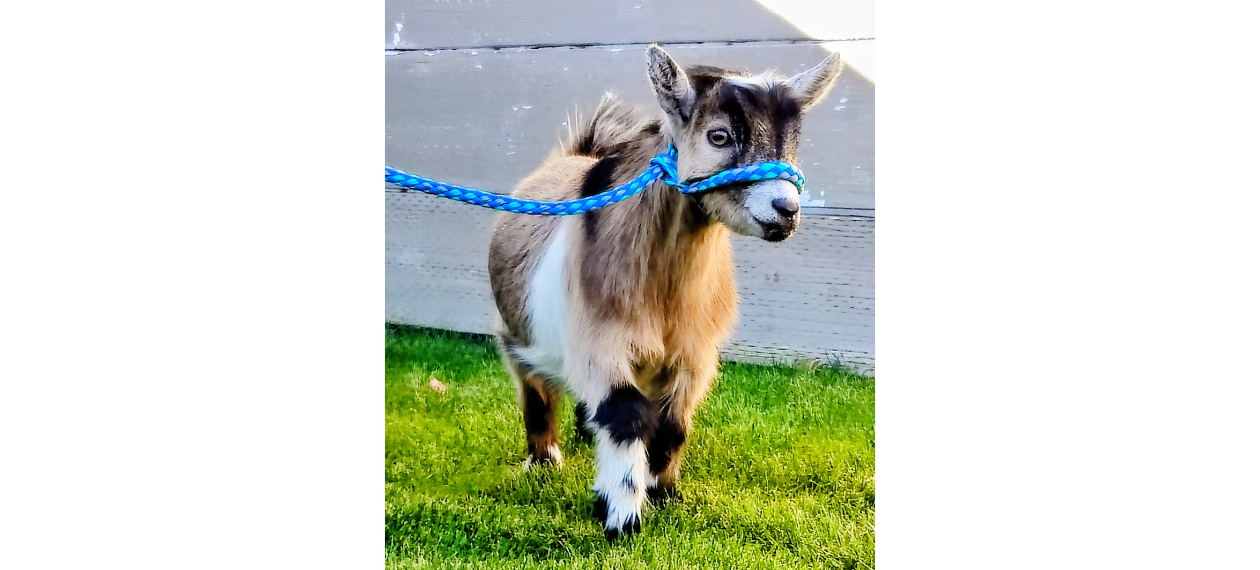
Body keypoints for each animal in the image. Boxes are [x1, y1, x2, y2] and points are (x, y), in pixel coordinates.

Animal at [487, 45, 843, 540]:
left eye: (792, 141)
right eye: (719, 136)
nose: (785, 209)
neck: (666, 293)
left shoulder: (695, 352)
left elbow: (672, 424)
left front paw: (664, 493)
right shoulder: (600, 339)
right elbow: (626, 416)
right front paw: (621, 517)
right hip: (514, 332)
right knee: (536, 391)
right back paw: (544, 461)